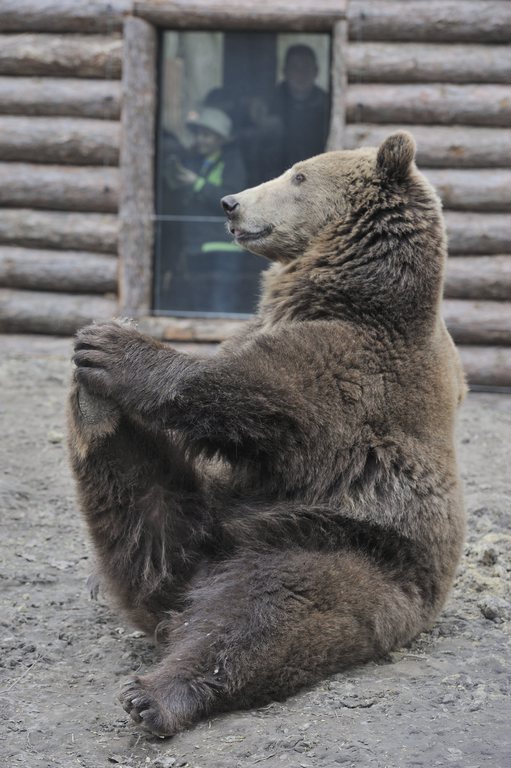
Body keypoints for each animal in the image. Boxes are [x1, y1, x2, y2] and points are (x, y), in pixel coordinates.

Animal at [68, 132, 468, 736]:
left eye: (298, 176)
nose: (230, 202)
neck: (345, 292)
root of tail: (188, 585)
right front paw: (96, 341)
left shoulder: (355, 371)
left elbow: (249, 396)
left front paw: (116, 349)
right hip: (204, 521)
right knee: (146, 509)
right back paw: (93, 412)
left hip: (344, 549)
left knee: (267, 612)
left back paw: (158, 694)